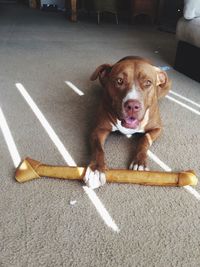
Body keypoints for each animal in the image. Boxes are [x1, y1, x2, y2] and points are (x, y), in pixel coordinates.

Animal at [83, 56, 171, 189]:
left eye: (148, 83)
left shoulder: (157, 128)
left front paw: (140, 162)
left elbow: (144, 139)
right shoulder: (99, 129)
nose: (132, 106)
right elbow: (98, 149)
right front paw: (96, 170)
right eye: (119, 81)